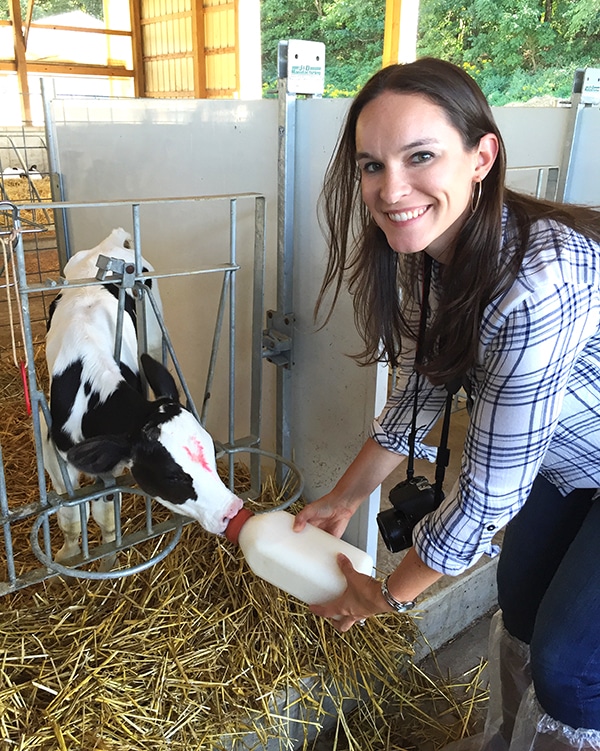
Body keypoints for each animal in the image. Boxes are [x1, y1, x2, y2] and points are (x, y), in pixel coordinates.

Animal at [41, 229, 244, 564]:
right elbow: (70, 514)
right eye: (172, 475)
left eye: (212, 450)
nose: (232, 509)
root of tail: (110, 243)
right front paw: (67, 557)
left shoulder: (110, 466)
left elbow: (104, 514)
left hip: (154, 335)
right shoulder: (55, 458)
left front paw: (108, 557)